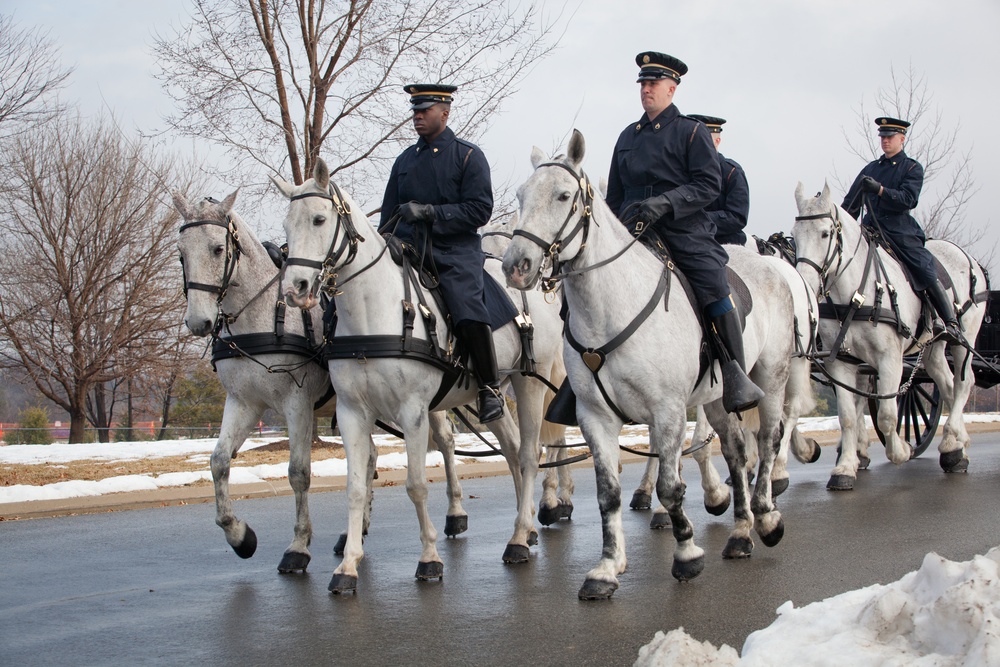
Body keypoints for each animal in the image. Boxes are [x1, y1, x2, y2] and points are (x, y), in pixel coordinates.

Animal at [278, 162, 568, 596]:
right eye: (286, 224)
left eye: (318, 219)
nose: (295, 288)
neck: (373, 313)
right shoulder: (351, 413)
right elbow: (356, 487)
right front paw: (348, 566)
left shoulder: (413, 411)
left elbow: (415, 484)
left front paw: (429, 558)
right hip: (493, 393)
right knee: (514, 449)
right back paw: (526, 527)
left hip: (530, 383)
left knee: (532, 454)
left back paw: (519, 536)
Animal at [504, 130, 792, 600]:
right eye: (521, 195)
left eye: (563, 196)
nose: (516, 266)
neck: (610, 306)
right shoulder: (596, 417)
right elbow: (608, 493)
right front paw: (606, 568)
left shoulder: (667, 411)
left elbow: (670, 487)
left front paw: (687, 554)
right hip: (716, 399)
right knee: (734, 450)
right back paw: (741, 532)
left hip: (771, 377)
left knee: (767, 441)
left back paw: (767, 518)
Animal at [792, 183, 988, 490]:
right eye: (795, 236)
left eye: (825, 233)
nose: (804, 282)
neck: (856, 294)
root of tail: (969, 258)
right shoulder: (842, 361)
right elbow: (848, 416)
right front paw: (845, 468)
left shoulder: (890, 359)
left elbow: (886, 415)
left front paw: (900, 451)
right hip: (932, 349)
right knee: (947, 385)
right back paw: (955, 447)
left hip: (963, 340)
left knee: (964, 384)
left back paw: (952, 440)